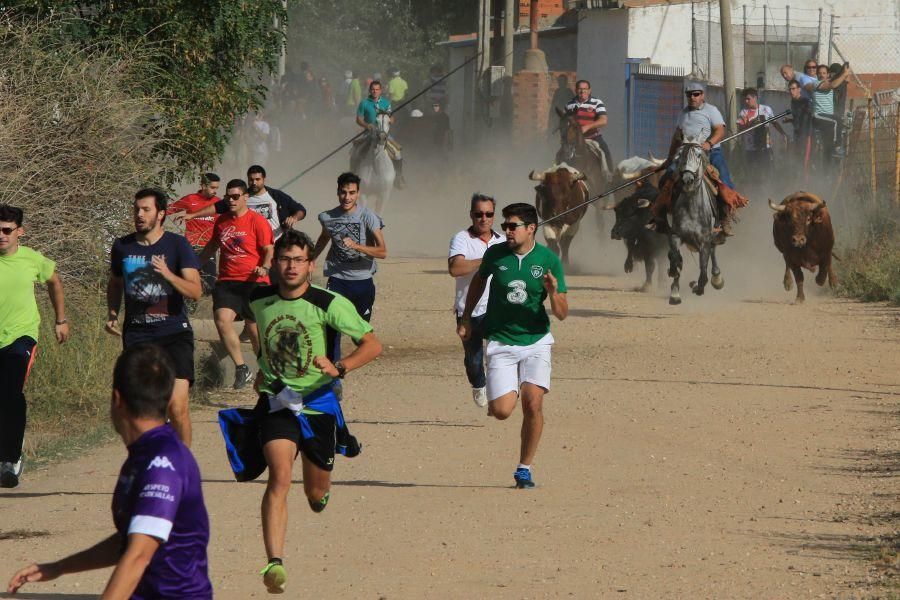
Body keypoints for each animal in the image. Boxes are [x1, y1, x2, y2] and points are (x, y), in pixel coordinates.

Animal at [664, 137, 728, 304]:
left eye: (699, 155)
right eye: (679, 154)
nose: (688, 179)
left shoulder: (704, 242)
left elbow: (703, 272)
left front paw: (697, 287)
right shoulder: (676, 236)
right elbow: (676, 260)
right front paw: (675, 293)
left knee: (713, 253)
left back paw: (717, 279)